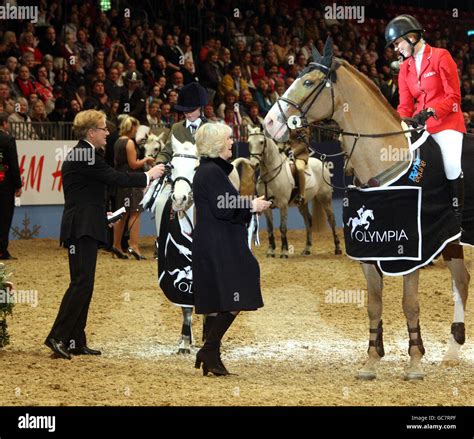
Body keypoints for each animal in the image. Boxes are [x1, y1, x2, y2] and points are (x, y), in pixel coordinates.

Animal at [246, 124, 342, 258]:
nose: (254, 164)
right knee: (308, 221)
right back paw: (307, 249)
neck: (270, 174)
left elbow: (282, 228)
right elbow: (270, 228)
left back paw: (337, 248)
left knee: (331, 220)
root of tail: (321, 163)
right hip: (302, 203)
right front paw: (270, 251)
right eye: (249, 142)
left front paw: (284, 252)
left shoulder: (283, 205)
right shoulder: (266, 207)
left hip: (325, 198)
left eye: (261, 142)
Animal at [264, 38, 468, 382]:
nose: (268, 122)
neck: (385, 161)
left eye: (308, 82)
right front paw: (372, 360)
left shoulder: (411, 250)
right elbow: (374, 304)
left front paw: (414, 362)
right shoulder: (369, 252)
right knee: (462, 281)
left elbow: (409, 303)